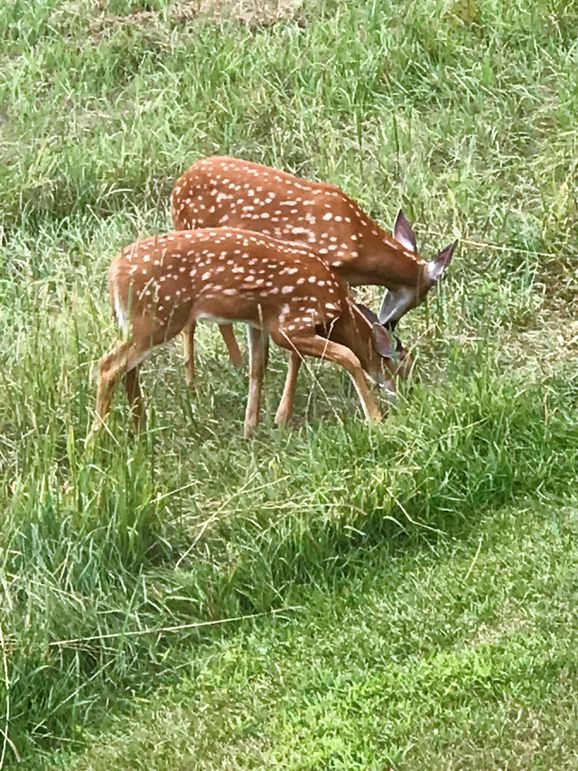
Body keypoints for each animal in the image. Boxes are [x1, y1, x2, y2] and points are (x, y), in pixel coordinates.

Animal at [90, 228, 403, 440]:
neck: (336, 306)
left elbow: (256, 368)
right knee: (108, 366)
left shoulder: (258, 322)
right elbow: (348, 355)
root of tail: (113, 273)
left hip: (140, 323)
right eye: (400, 364)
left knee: (128, 370)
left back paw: (139, 430)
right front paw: (375, 418)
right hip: (156, 319)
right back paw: (97, 440)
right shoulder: (289, 324)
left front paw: (249, 428)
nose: (403, 394)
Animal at [170, 155, 457, 377]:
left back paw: (238, 366)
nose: (389, 324)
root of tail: (176, 189)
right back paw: (192, 384)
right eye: (422, 297)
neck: (359, 245)